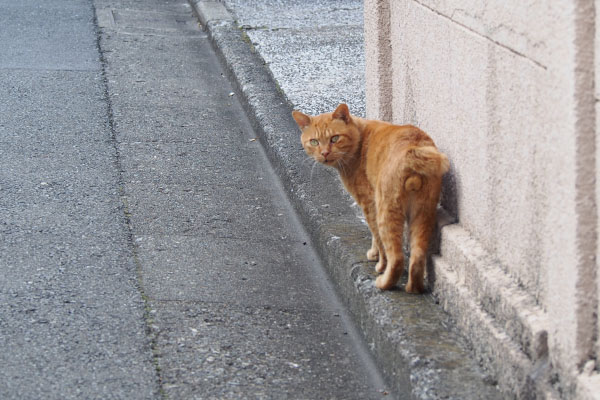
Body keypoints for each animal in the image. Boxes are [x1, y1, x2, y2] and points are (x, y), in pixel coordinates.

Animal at [292, 103, 448, 292]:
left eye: (335, 138)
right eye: (314, 142)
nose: (324, 153)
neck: (359, 142)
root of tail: (414, 150)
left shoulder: (368, 202)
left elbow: (377, 237)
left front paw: (379, 262)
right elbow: (375, 237)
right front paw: (374, 254)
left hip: (387, 210)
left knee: (397, 257)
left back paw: (384, 282)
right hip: (424, 211)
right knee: (417, 256)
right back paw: (414, 288)